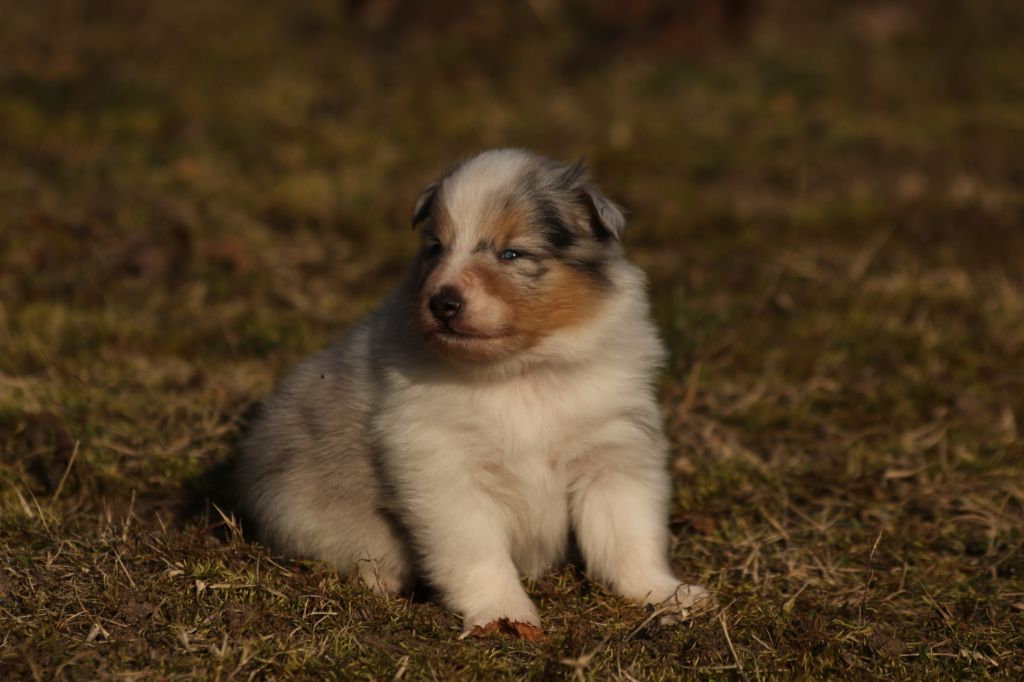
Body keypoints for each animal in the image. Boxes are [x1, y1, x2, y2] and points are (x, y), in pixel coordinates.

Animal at [237, 148, 712, 638]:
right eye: (435, 247)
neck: (519, 372)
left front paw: (666, 594)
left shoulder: (612, 453)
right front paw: (503, 615)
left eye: (512, 252)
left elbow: (630, 536)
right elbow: (477, 552)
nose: (442, 303)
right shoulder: (443, 468)